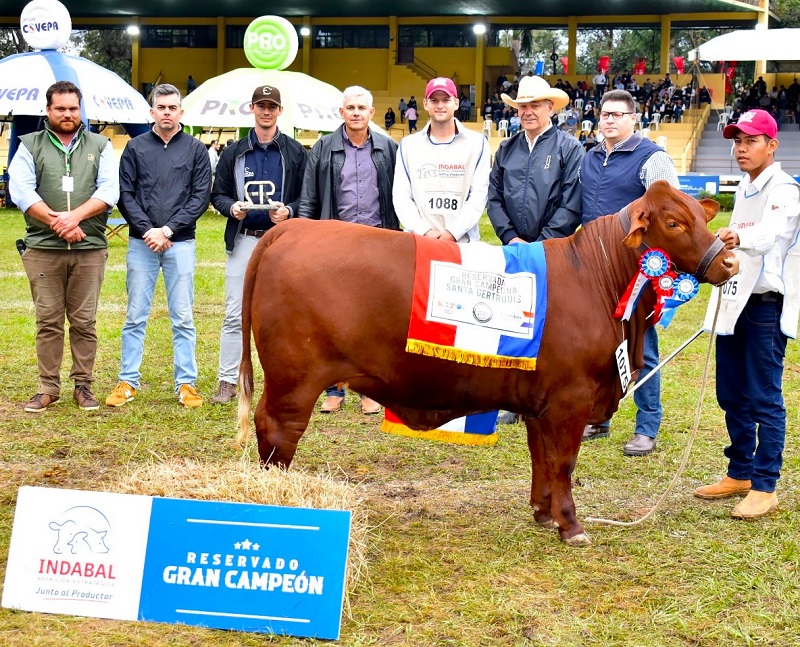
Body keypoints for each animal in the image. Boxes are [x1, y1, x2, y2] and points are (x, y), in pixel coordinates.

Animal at [236, 181, 738, 546]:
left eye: (701, 217)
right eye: (673, 222)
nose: (730, 262)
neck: (596, 278)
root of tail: (291, 229)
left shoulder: (542, 402)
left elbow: (542, 458)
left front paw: (543, 512)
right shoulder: (571, 399)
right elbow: (565, 461)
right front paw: (571, 526)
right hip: (294, 378)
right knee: (277, 429)